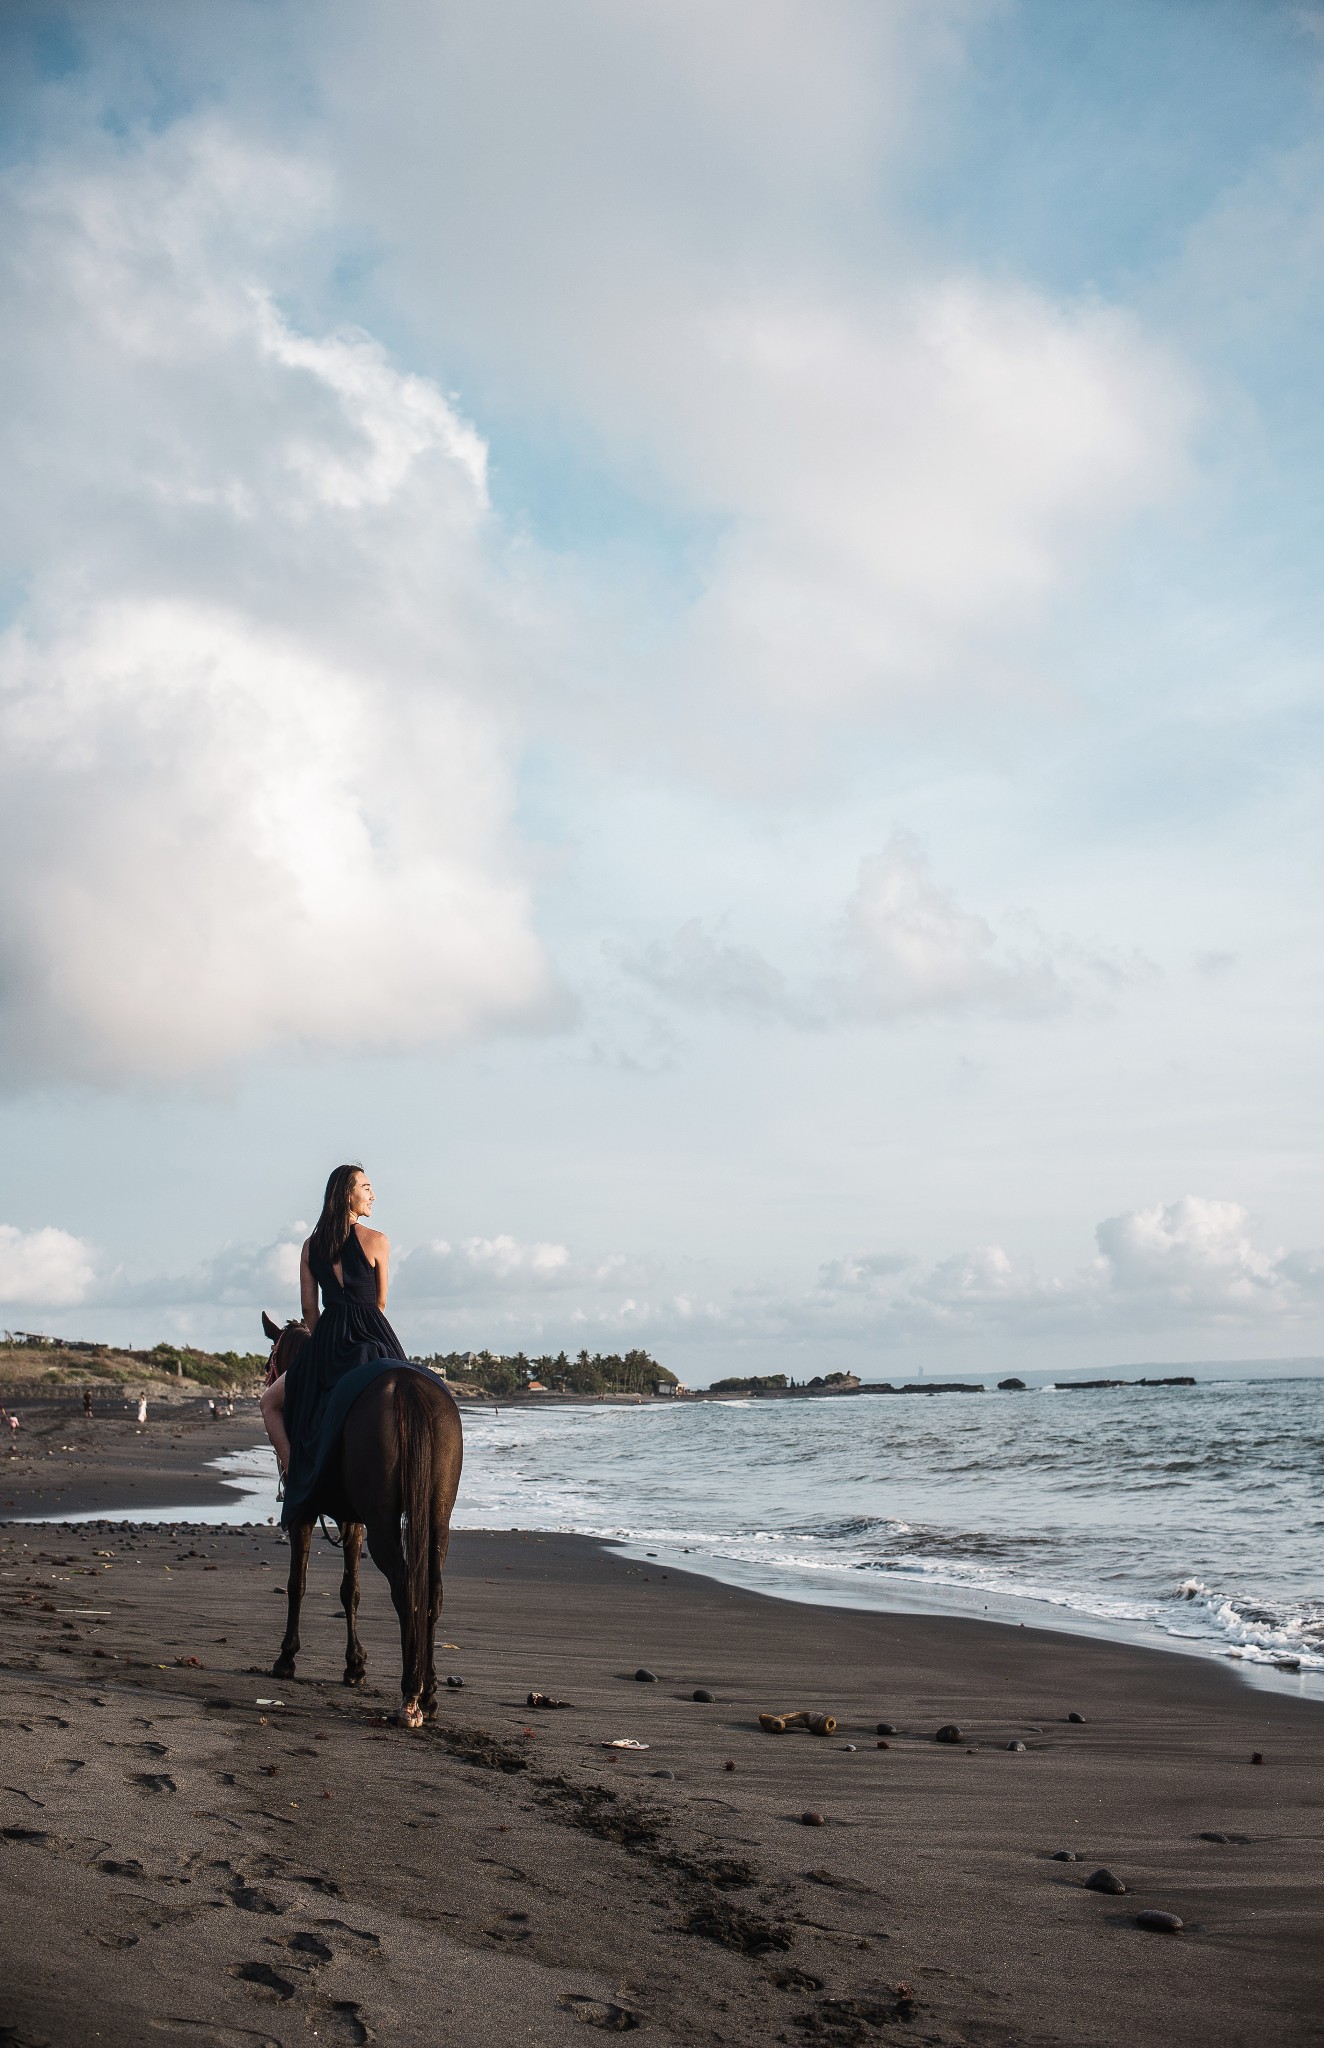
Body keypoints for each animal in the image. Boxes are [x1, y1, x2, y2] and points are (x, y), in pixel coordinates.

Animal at [260, 1310, 467, 1728]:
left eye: (269, 1360)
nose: (267, 1380)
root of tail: (408, 1388)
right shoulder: (353, 1521)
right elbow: (349, 1590)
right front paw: (354, 1664)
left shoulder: (303, 1513)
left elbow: (297, 1584)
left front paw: (287, 1657)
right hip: (437, 1518)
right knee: (431, 1591)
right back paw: (429, 1694)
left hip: (383, 1524)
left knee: (405, 1589)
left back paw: (410, 1694)